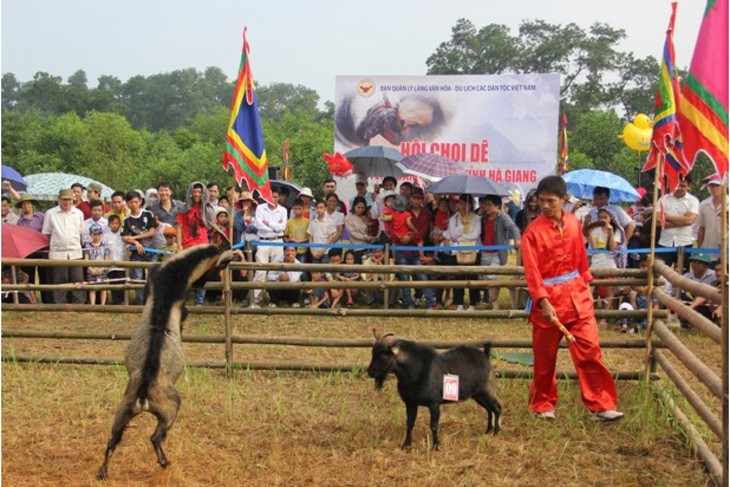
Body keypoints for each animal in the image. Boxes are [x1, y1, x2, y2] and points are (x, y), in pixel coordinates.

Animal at [96, 246, 233, 478]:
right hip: (170, 407)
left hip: (123, 410)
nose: (202, 285)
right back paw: (164, 461)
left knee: (113, 440)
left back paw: (103, 472)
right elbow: (183, 315)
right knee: (155, 437)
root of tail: (143, 396)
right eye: (218, 267)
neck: (176, 268)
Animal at [364, 330, 500, 452]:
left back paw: (496, 432)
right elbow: (410, 423)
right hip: (478, 395)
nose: (370, 372)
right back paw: (488, 431)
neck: (415, 371)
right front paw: (406, 445)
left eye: (382, 354)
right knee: (489, 410)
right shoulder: (411, 403)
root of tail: (485, 355)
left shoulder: (434, 404)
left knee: (497, 408)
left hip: (487, 390)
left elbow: (433, 425)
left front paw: (435, 446)